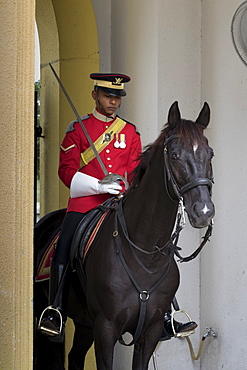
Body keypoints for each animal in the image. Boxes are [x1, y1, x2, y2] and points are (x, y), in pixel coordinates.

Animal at [33, 102, 215, 370]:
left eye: (209, 153)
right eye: (174, 155)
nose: (203, 212)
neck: (145, 250)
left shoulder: (149, 332)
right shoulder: (106, 328)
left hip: (85, 323)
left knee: (75, 358)